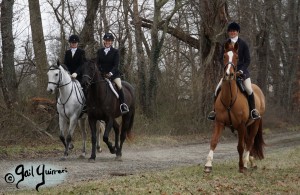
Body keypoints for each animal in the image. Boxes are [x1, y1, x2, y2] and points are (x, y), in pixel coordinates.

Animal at [205, 42, 266, 172]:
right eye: (224, 56)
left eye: (237, 57)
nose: (229, 74)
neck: (229, 99)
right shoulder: (219, 122)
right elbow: (213, 141)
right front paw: (208, 165)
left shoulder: (241, 125)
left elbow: (240, 146)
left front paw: (241, 166)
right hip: (246, 126)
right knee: (248, 142)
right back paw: (251, 161)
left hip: (254, 123)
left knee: (250, 141)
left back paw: (247, 162)